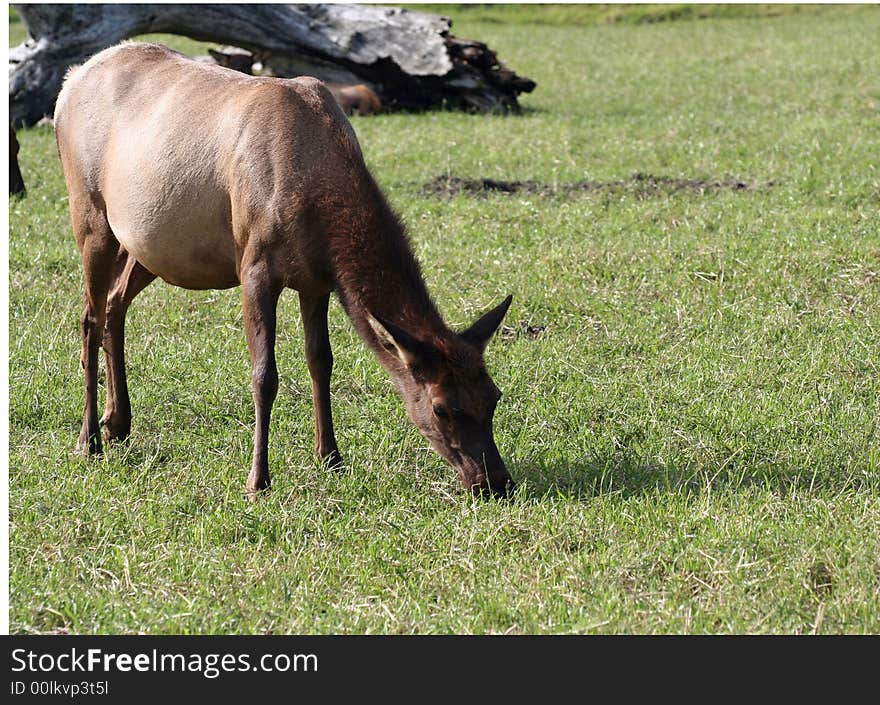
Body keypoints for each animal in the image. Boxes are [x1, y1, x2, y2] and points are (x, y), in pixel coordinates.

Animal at [53, 42, 516, 496]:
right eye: (441, 408)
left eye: (493, 395)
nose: (495, 482)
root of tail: (69, 82)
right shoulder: (255, 266)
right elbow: (264, 375)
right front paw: (258, 480)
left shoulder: (317, 281)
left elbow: (321, 361)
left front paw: (330, 456)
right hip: (90, 214)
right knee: (90, 317)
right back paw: (88, 439)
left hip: (147, 245)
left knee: (115, 304)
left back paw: (117, 423)